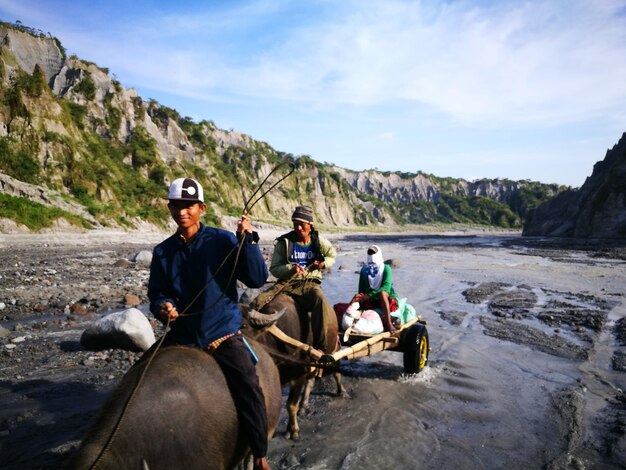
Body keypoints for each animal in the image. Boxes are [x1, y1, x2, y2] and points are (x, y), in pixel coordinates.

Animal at [246, 294, 344, 440]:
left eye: (242, 325)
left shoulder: (299, 375)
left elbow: (291, 405)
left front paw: (293, 431)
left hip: (334, 348)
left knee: (336, 372)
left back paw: (341, 391)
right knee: (311, 380)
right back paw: (303, 406)